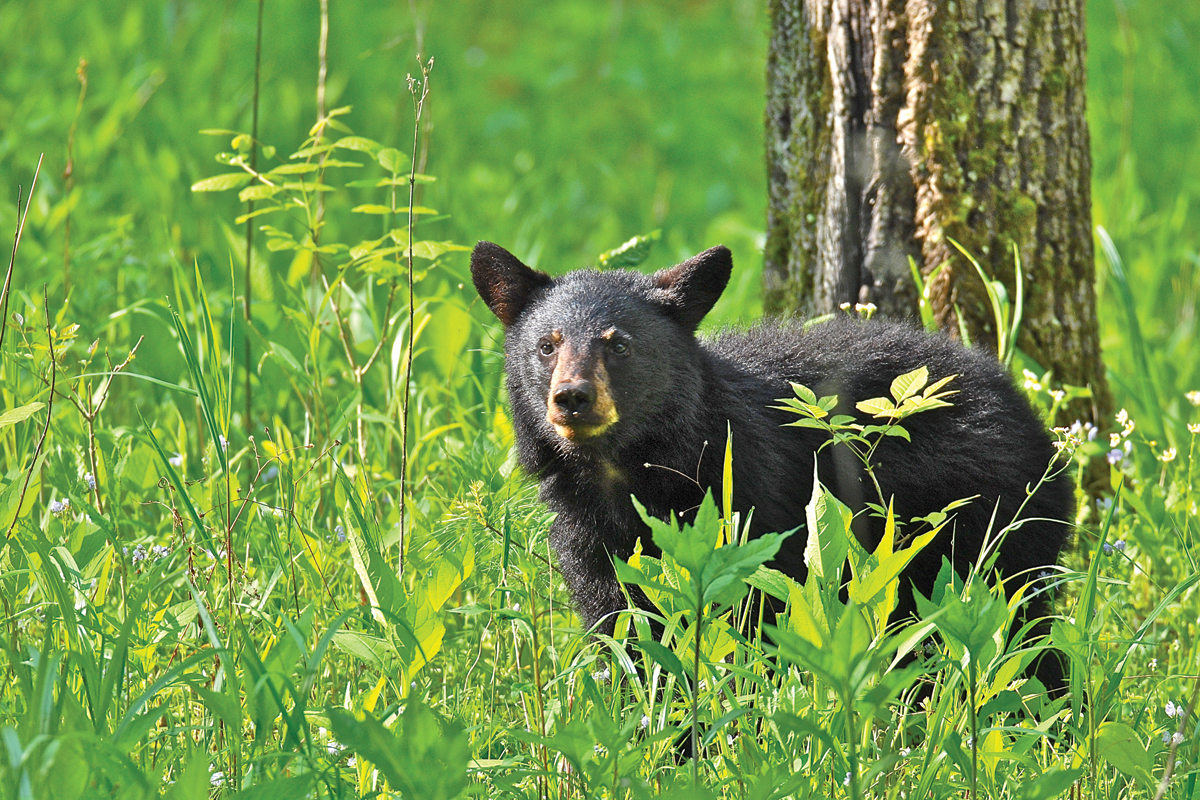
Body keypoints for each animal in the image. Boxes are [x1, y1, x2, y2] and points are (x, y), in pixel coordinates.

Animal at [470, 240, 1073, 691]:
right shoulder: (591, 538)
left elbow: (755, 623)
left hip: (992, 531)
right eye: (546, 345)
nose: (571, 398)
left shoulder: (755, 503)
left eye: (619, 345)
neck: (631, 472)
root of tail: (1027, 410)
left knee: (1019, 633)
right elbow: (626, 632)